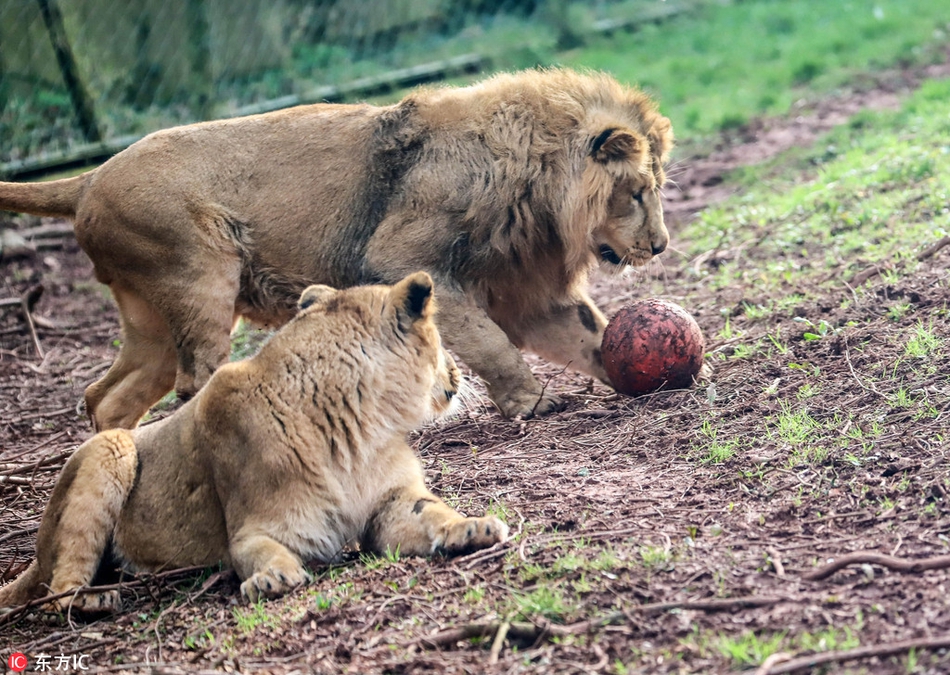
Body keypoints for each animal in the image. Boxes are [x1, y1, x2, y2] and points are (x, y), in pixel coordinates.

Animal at [0, 67, 672, 428]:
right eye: (639, 192)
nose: (662, 246)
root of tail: (89, 176)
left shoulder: (524, 288)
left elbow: (588, 335)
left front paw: (649, 368)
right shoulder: (402, 256)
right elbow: (489, 340)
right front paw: (530, 402)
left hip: (152, 322)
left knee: (106, 396)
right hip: (199, 277)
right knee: (197, 381)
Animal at [0, 272, 510, 608]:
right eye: (441, 341)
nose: (458, 372)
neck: (364, 427)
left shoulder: (390, 503)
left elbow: (433, 513)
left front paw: (474, 528)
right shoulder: (253, 527)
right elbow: (261, 551)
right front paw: (272, 579)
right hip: (111, 448)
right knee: (56, 590)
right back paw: (93, 601)